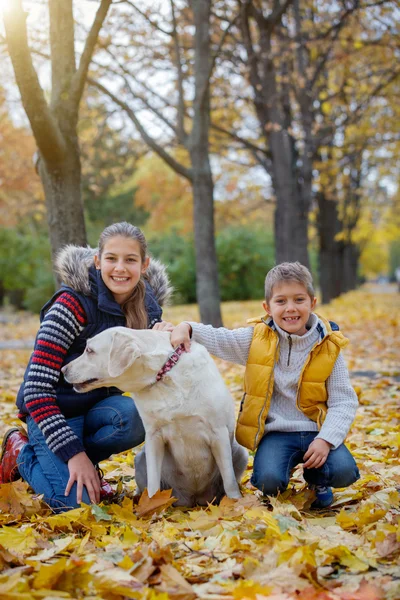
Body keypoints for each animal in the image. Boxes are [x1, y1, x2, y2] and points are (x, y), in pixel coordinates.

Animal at [62, 328, 247, 506]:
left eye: (89, 350)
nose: (63, 369)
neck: (163, 376)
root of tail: (193, 499)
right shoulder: (154, 437)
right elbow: (152, 484)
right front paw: (151, 507)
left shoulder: (218, 432)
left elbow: (229, 480)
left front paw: (234, 504)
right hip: (140, 458)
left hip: (241, 452)